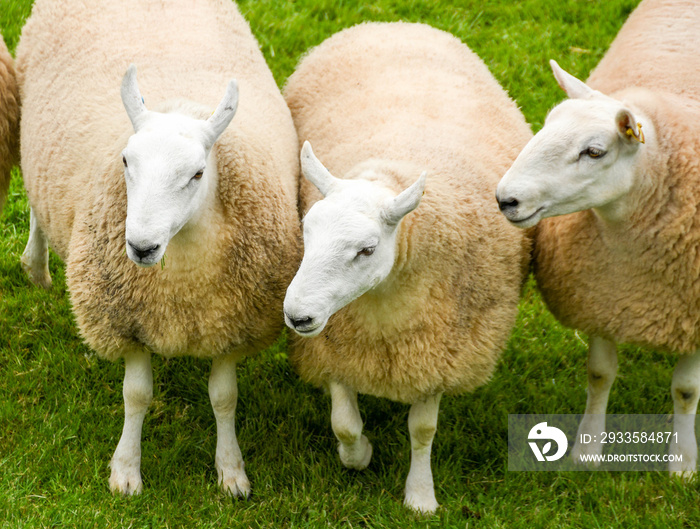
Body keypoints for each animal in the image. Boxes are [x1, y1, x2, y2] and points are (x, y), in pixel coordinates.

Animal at [16, 0, 300, 496]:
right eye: (126, 161)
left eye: (198, 174)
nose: (140, 247)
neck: (180, 271)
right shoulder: (123, 320)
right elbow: (137, 396)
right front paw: (126, 471)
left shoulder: (234, 323)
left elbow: (224, 398)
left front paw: (231, 471)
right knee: (35, 203)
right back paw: (36, 266)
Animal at [284, 21, 532, 512]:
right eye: (306, 229)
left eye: (365, 250)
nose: (297, 316)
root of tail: (391, 23)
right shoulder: (334, 349)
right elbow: (344, 423)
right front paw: (359, 455)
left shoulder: (442, 351)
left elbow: (422, 430)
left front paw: (420, 495)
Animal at [494, 0, 700, 478]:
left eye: (594, 151)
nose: (505, 199)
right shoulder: (602, 296)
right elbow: (600, 373)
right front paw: (587, 449)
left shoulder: (691, 314)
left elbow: (685, 390)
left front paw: (683, 462)